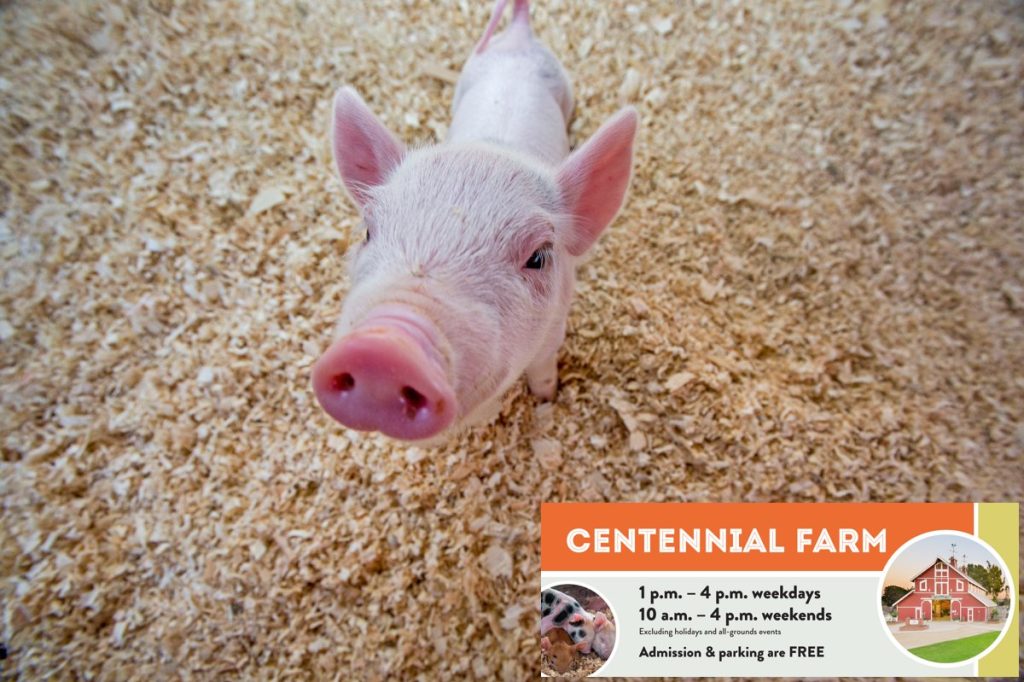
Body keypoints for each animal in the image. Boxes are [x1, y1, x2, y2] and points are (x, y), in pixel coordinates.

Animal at [311, 0, 638, 441]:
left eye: (538, 257)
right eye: (368, 231)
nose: (384, 348)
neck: (491, 147)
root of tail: (519, 30)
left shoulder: (554, 332)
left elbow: (543, 373)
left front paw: (547, 401)